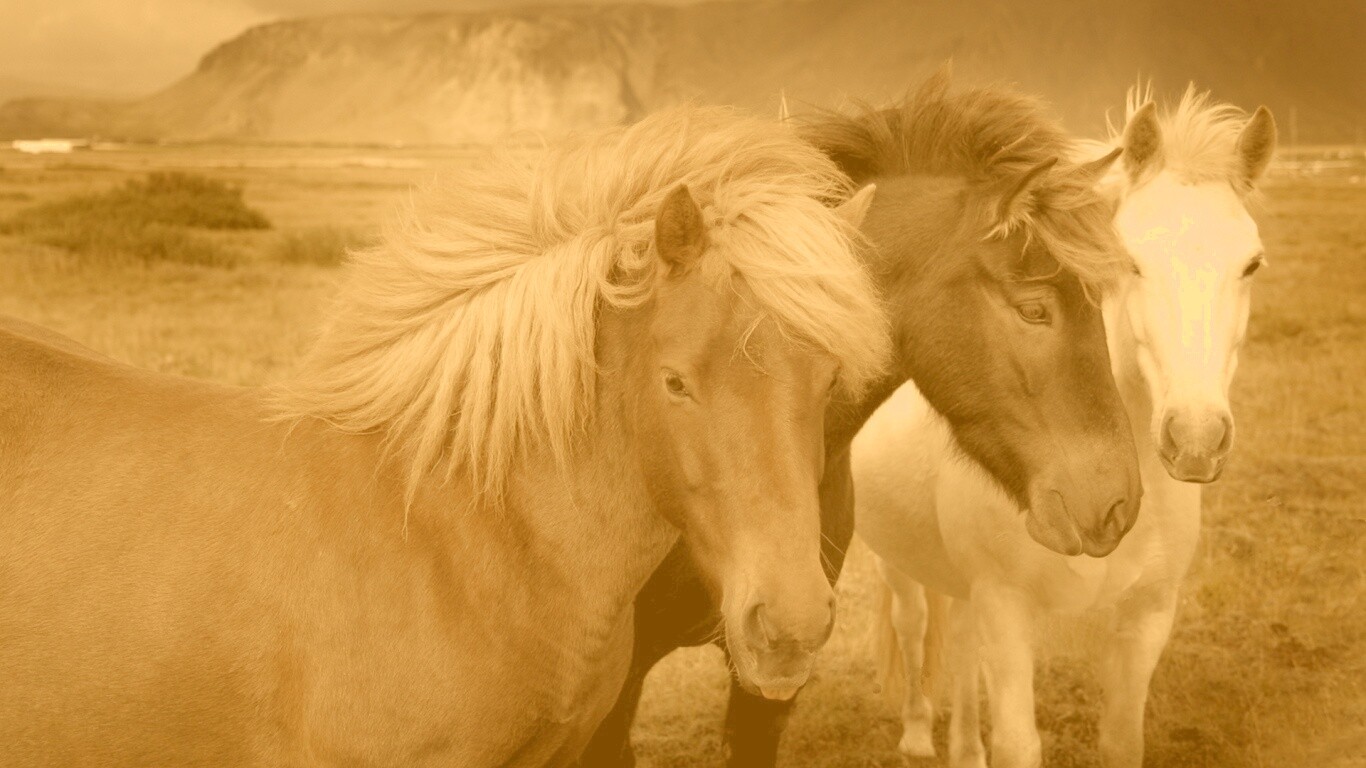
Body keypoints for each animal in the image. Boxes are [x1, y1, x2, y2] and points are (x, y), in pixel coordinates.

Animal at [855, 85, 1277, 768]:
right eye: (1130, 262)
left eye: (1252, 264)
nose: (1195, 439)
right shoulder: (1006, 609)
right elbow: (1018, 742)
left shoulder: (1146, 619)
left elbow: (1121, 738)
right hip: (897, 561)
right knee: (914, 623)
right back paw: (918, 733)